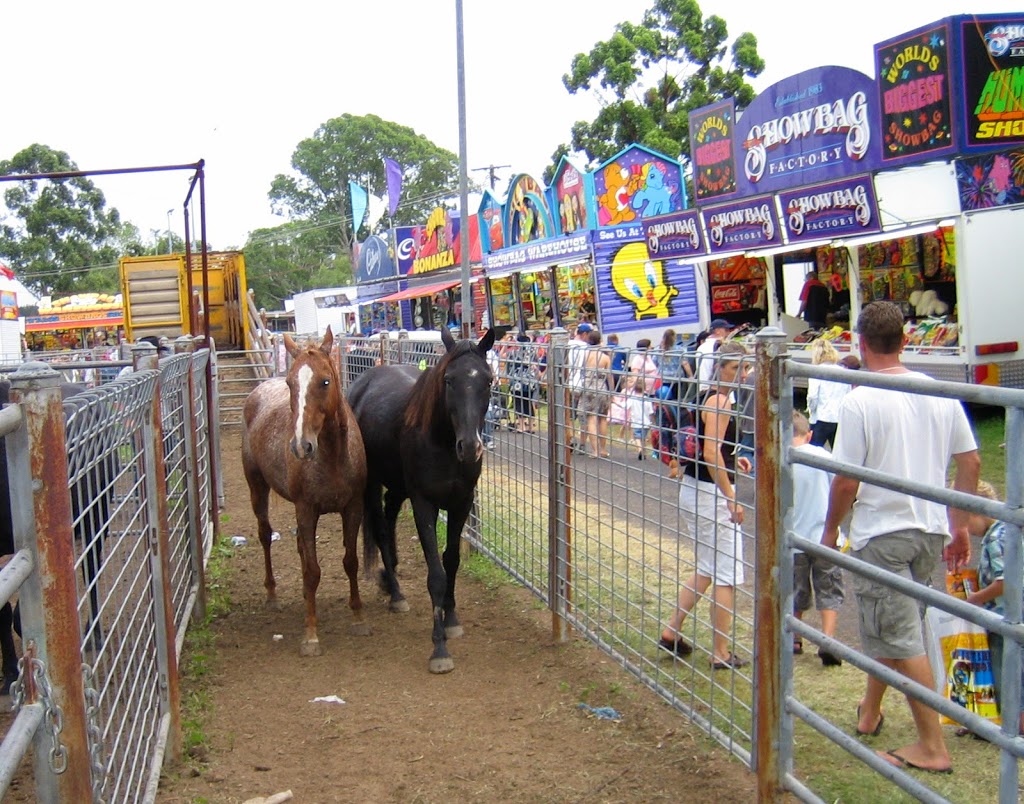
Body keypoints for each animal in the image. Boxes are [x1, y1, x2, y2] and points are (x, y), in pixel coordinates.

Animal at [239, 325, 368, 651]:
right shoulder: (307, 510)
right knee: (265, 535)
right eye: (290, 383)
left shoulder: (353, 508)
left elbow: (350, 561)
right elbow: (312, 571)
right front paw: (311, 634)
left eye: (325, 381)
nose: (301, 445)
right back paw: (272, 594)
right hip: (257, 488)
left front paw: (358, 618)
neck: (333, 456)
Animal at [348, 325, 495, 671]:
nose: (470, 447)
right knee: (380, 527)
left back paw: (390, 578)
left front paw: (451, 619)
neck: (442, 442)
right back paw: (396, 594)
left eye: (488, 381)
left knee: (388, 518)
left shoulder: (461, 503)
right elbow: (436, 575)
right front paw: (439, 648)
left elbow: (452, 560)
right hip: (372, 484)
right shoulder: (423, 505)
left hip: (398, 487)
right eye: (449, 380)